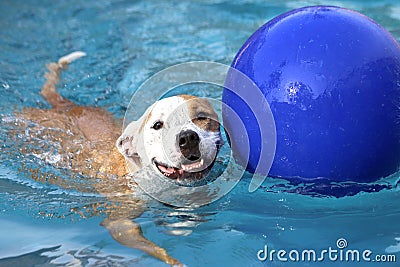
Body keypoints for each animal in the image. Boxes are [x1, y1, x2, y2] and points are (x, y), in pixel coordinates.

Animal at [9, 51, 223, 266]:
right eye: (157, 125)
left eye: (201, 117)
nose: (187, 138)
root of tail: (66, 106)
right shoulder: (120, 223)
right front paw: (174, 260)